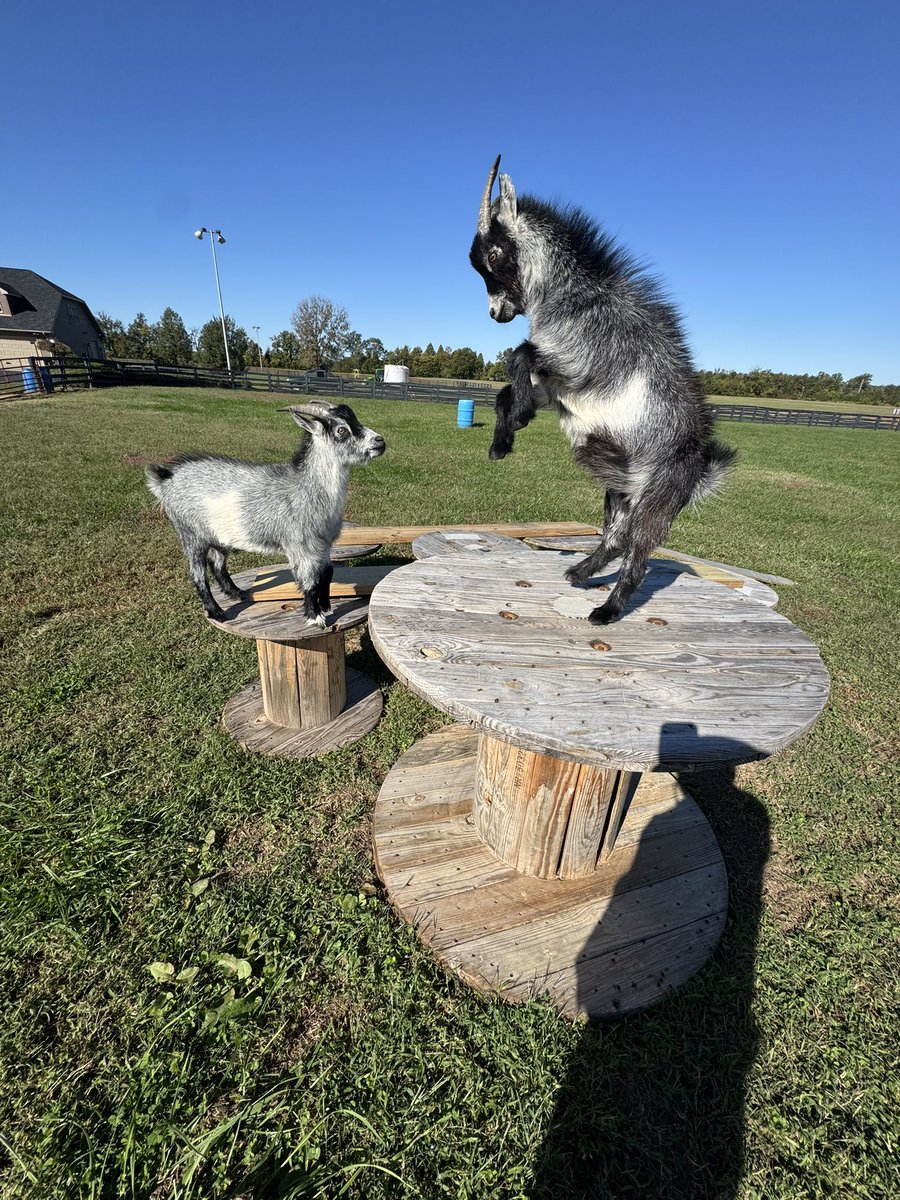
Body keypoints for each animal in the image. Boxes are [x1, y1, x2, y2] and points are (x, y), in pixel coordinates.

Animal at [145, 402, 385, 624]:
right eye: (341, 430)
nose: (380, 441)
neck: (306, 487)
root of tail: (166, 479)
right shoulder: (300, 545)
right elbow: (310, 581)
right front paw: (315, 616)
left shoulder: (323, 544)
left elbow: (327, 574)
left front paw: (325, 605)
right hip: (191, 534)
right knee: (198, 575)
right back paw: (217, 612)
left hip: (216, 536)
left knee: (217, 564)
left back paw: (237, 593)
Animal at [469, 155, 736, 624]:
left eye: (494, 254)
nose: (496, 313)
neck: (577, 299)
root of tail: (700, 469)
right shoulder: (556, 384)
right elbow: (506, 389)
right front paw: (504, 439)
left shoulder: (581, 366)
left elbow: (520, 355)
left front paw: (517, 418)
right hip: (620, 488)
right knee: (614, 538)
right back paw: (578, 572)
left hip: (655, 500)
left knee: (638, 554)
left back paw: (606, 610)